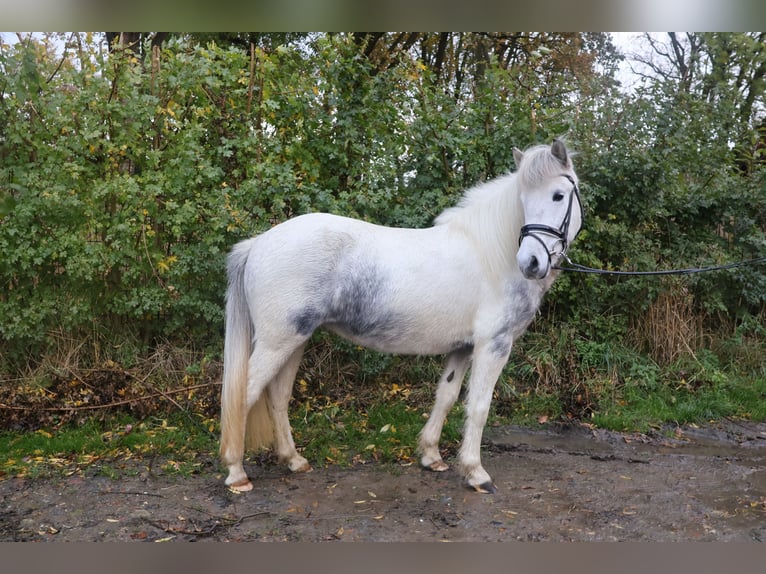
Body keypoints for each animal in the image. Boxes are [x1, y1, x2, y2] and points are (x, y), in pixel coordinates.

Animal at [220, 139, 583, 494]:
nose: (531, 263)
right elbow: (478, 406)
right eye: (523, 199)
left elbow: (446, 397)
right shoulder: (494, 345)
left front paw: (431, 456)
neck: (491, 254)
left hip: (294, 341)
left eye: (558, 195)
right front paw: (476, 473)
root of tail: (258, 244)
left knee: (278, 397)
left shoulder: (463, 348)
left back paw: (294, 460)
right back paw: (237, 473)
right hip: (276, 343)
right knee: (243, 396)